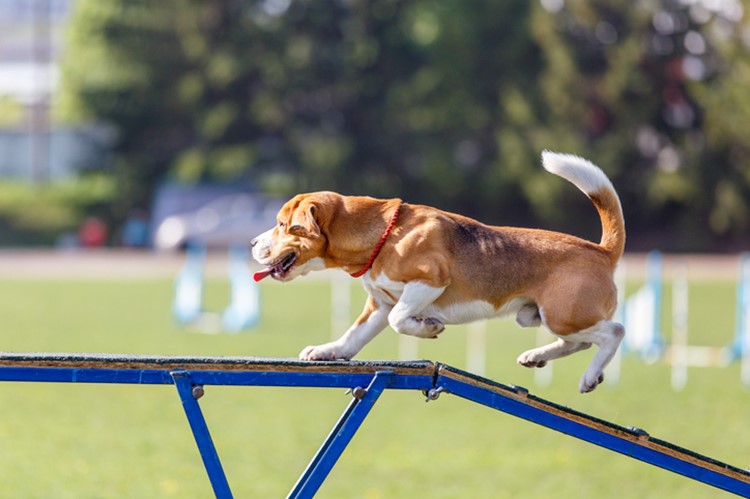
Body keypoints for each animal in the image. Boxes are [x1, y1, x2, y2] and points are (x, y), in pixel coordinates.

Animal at [253, 150, 628, 392]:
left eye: (283, 225)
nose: (253, 243)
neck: (386, 234)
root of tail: (602, 251)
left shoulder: (428, 281)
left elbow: (400, 320)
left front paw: (428, 327)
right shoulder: (380, 304)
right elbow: (354, 335)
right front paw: (328, 351)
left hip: (564, 313)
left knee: (614, 332)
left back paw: (589, 377)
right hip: (543, 317)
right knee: (579, 342)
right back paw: (536, 356)